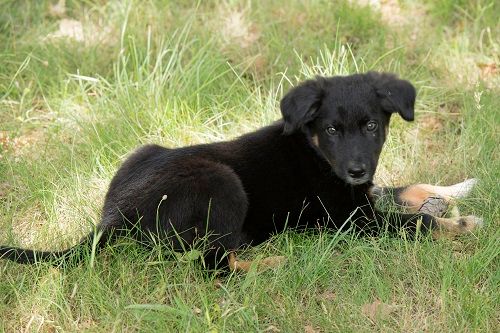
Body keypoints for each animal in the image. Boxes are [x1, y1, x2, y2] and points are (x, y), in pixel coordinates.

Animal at [0, 71, 480, 268]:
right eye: (331, 129)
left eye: (371, 126)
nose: (358, 170)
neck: (315, 151)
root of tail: (114, 214)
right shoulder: (349, 219)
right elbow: (415, 223)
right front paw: (457, 225)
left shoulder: (361, 196)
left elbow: (408, 187)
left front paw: (459, 190)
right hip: (222, 183)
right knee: (212, 264)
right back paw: (276, 262)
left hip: (143, 153)